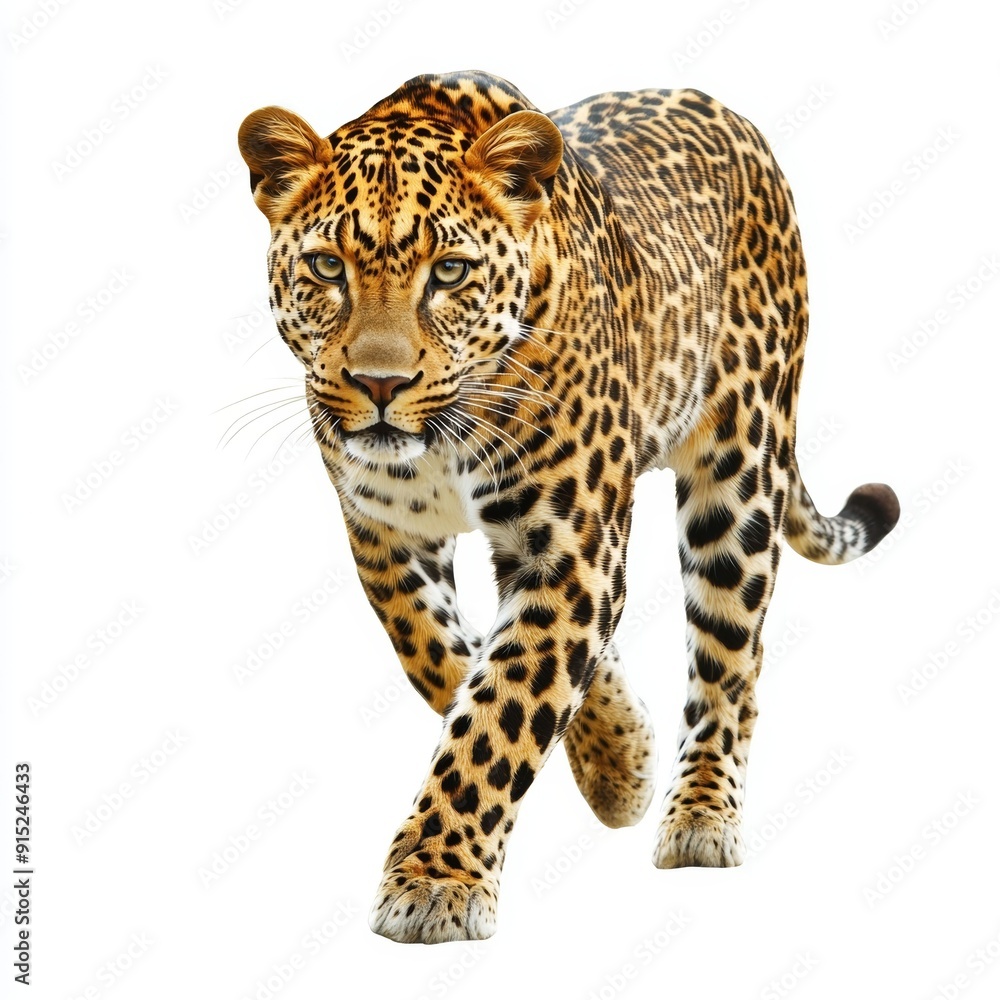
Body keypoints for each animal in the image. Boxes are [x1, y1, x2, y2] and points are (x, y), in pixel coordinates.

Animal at [237, 70, 900, 944]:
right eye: (325, 266)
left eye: (449, 273)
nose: (381, 385)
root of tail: (728, 113)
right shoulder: (386, 535)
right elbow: (447, 660)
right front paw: (617, 759)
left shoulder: (571, 547)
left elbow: (503, 709)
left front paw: (436, 881)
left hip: (739, 470)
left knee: (732, 657)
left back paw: (700, 816)